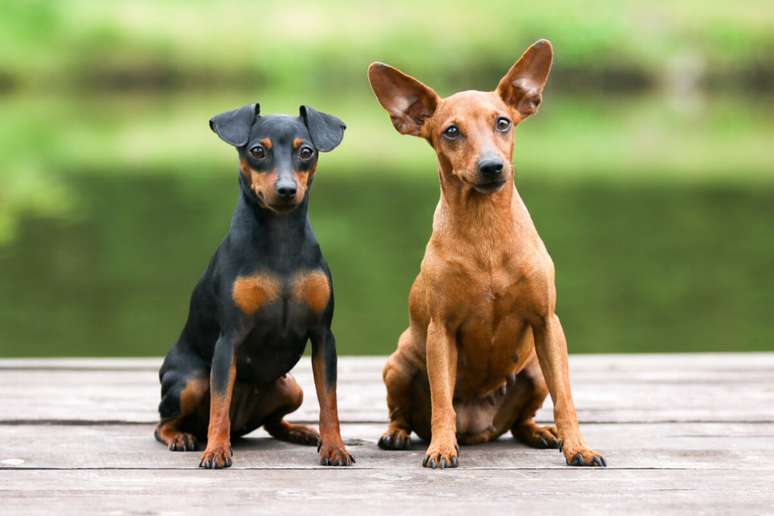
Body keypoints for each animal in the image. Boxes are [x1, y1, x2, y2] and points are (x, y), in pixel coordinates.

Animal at [155, 103, 354, 470]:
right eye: (258, 151)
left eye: (306, 152)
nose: (287, 189)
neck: (281, 240)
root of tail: (241, 425)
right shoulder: (228, 341)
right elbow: (220, 403)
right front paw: (215, 451)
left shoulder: (323, 337)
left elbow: (329, 401)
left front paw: (335, 446)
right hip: (191, 382)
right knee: (166, 422)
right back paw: (183, 437)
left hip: (290, 386)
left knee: (273, 423)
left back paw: (302, 432)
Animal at [368, 40, 608, 468]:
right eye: (451, 131)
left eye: (503, 123)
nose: (492, 167)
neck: (487, 233)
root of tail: (478, 428)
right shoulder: (441, 331)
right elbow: (442, 402)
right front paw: (441, 448)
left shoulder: (547, 324)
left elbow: (566, 399)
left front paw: (578, 447)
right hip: (398, 365)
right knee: (404, 413)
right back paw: (397, 434)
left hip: (535, 372)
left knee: (523, 420)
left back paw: (542, 433)